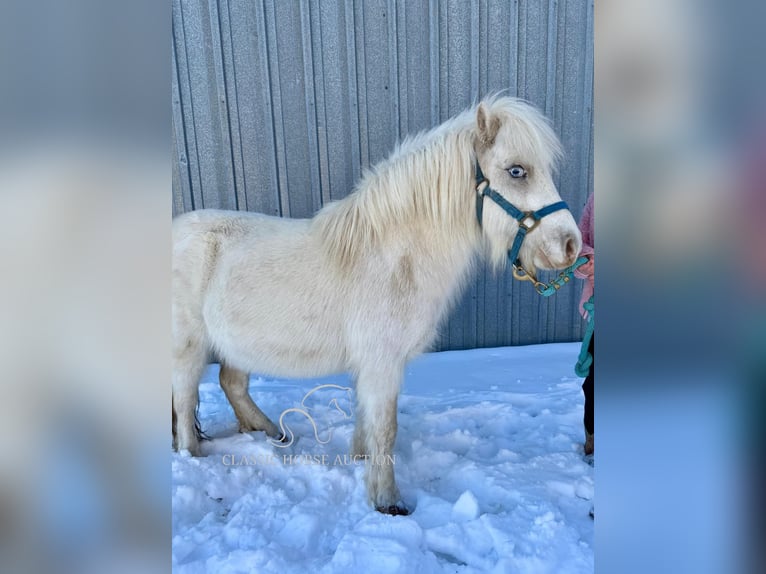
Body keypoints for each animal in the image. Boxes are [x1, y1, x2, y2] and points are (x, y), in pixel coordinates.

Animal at [174, 95, 584, 516]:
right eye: (517, 171)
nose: (571, 245)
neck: (394, 259)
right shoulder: (383, 362)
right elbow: (386, 428)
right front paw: (387, 501)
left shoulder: (370, 364)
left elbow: (366, 419)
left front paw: (360, 460)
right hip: (187, 347)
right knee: (185, 399)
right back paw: (194, 456)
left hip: (236, 344)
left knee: (232, 383)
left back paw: (272, 433)